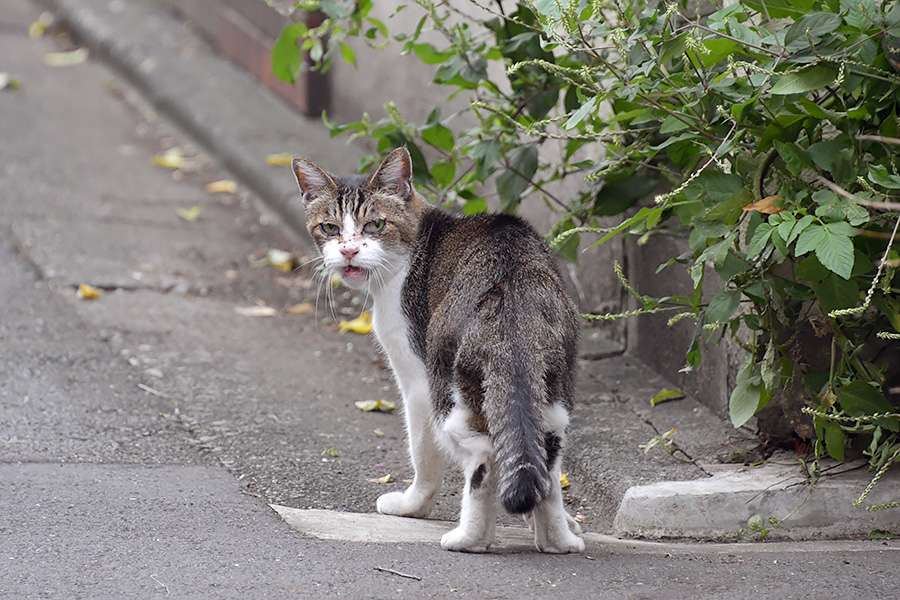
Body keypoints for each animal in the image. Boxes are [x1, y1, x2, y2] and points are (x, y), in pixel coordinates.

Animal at [288, 145, 584, 552]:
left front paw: (413, 506)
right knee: (547, 453)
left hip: (446, 383)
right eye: (330, 228)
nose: (348, 251)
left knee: (483, 457)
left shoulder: (415, 380)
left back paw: (469, 538)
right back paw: (557, 538)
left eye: (375, 225)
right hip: (553, 383)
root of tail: (512, 287)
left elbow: (423, 454)